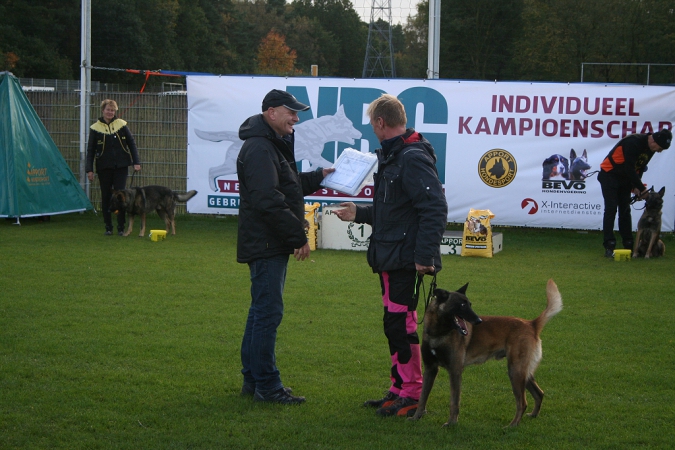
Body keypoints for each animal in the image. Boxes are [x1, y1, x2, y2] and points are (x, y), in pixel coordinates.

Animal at [196, 104, 363, 191]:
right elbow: (327, 163)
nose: (360, 134)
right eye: (350, 125)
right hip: (231, 166)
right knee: (212, 170)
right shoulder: (314, 156)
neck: (322, 131)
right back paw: (213, 188)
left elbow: (312, 168)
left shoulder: (313, 158)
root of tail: (237, 137)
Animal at [409, 279, 563, 427]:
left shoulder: (455, 371)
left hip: (515, 371)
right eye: (462, 305)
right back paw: (533, 415)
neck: (438, 333)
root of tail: (531, 324)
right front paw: (416, 417)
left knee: (522, 403)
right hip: (523, 372)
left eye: (469, 304)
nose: (478, 320)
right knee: (539, 394)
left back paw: (512, 425)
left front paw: (451, 423)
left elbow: (454, 402)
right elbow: (422, 398)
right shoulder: (430, 369)